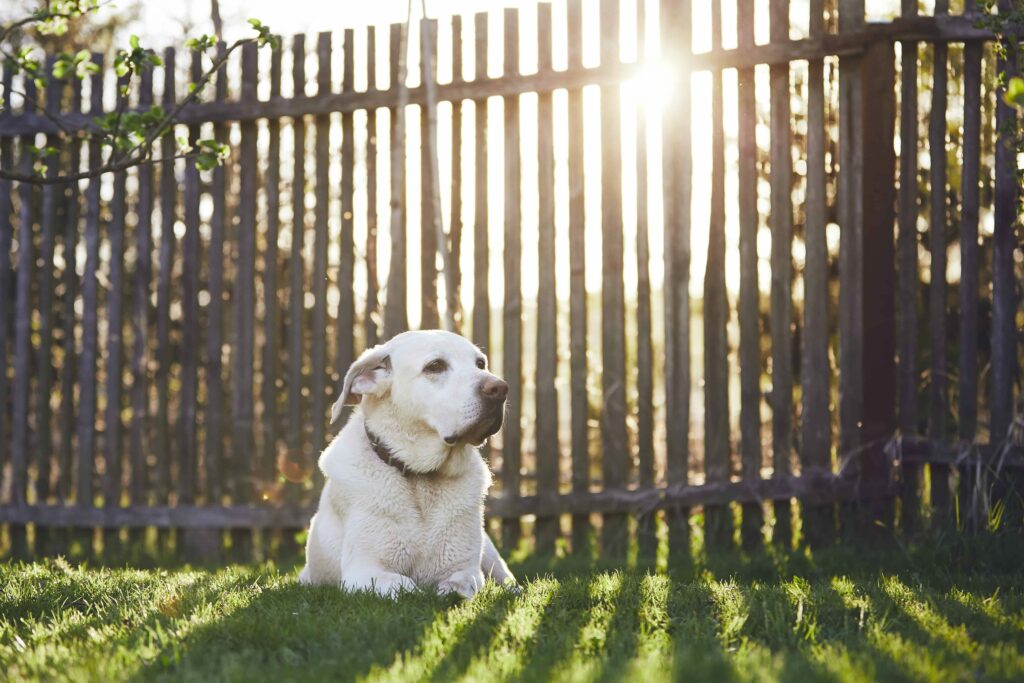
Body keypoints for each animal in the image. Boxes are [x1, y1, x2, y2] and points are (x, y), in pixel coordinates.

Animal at [299, 327, 516, 593]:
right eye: (435, 366)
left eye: (480, 364)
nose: (500, 388)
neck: (421, 479)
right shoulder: (364, 572)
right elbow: (407, 585)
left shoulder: (466, 569)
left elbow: (459, 584)